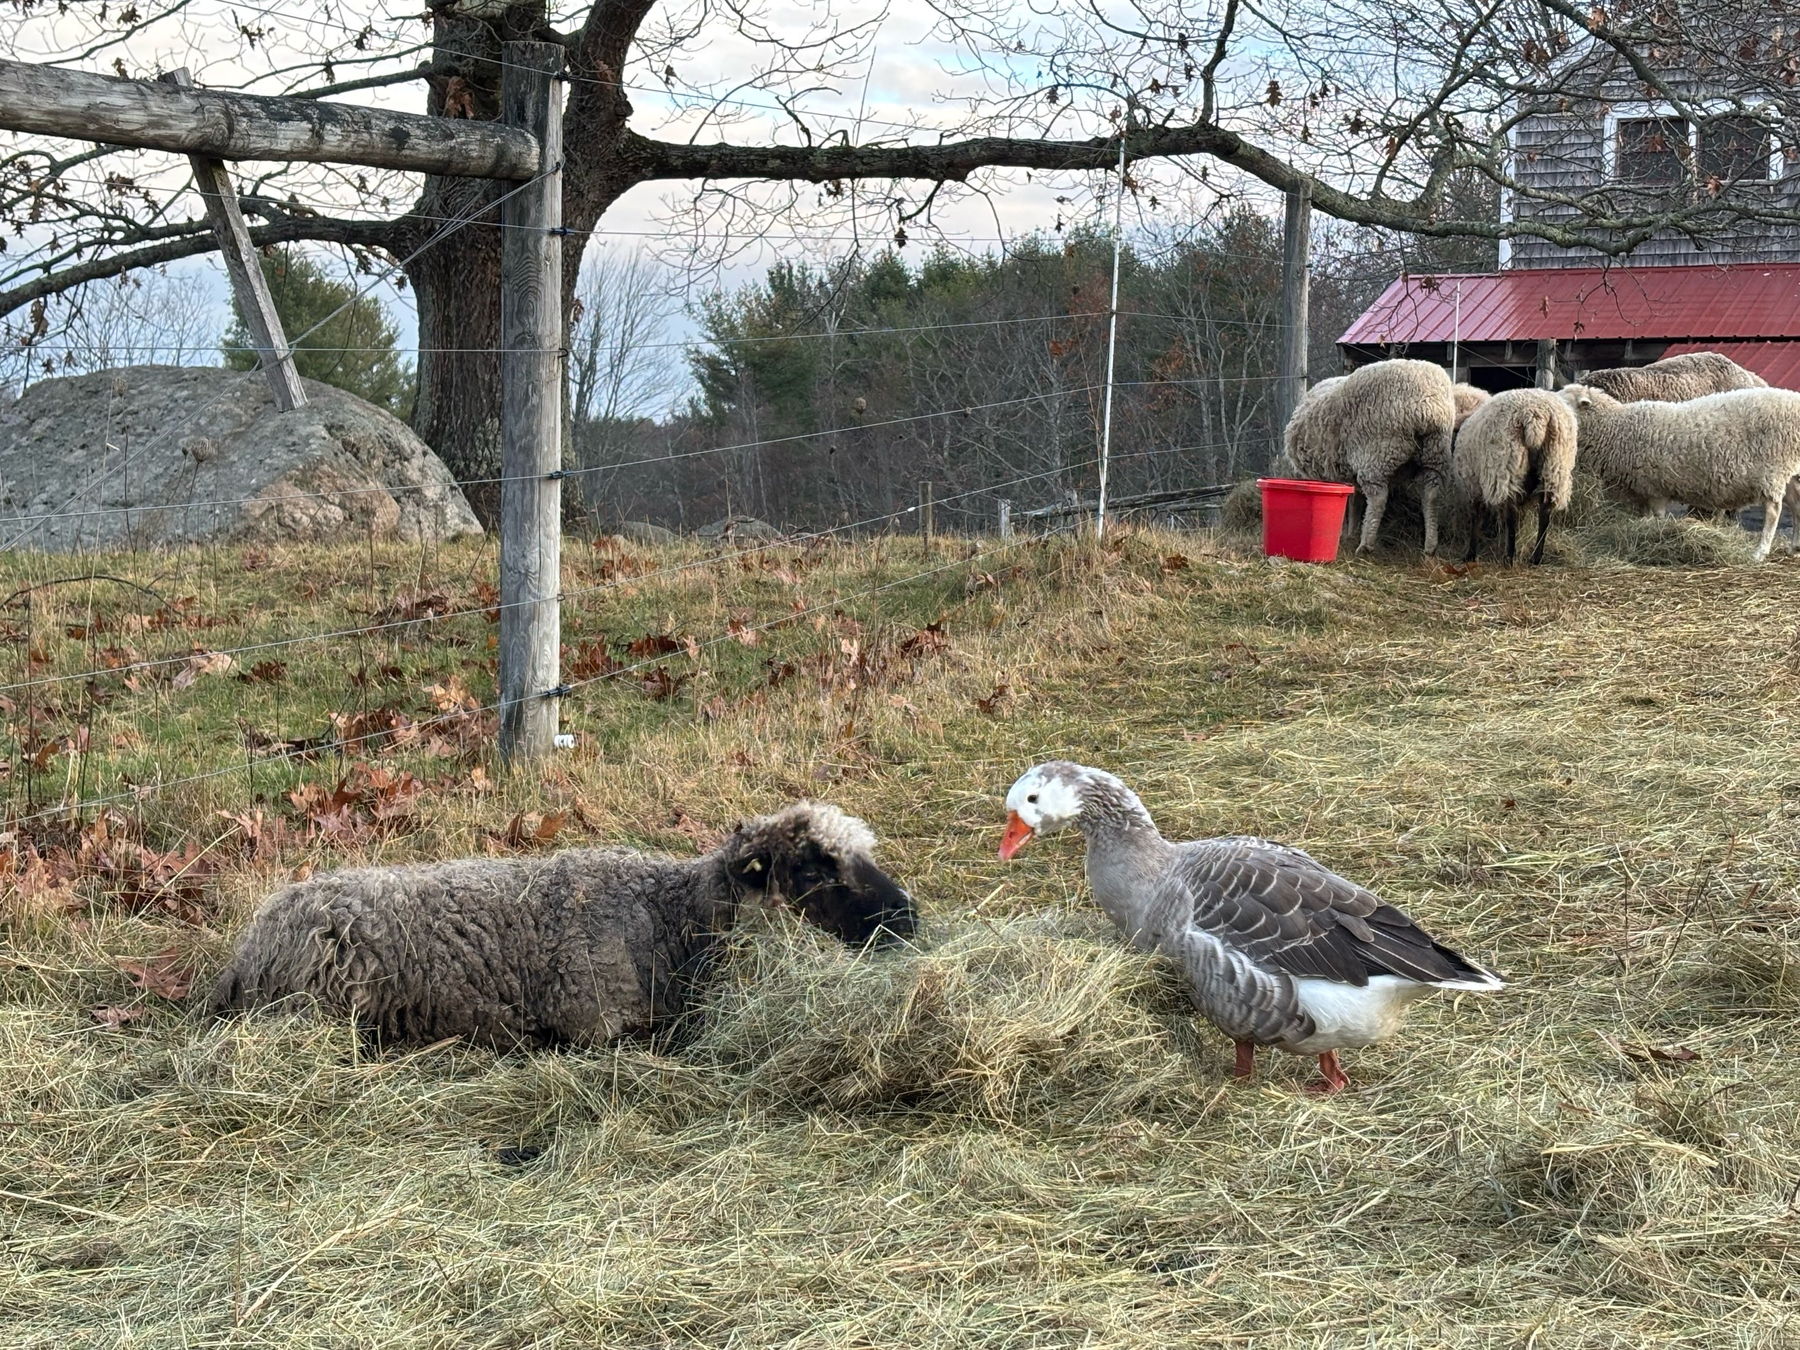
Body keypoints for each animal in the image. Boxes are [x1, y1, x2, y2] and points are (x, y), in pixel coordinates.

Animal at [1283, 359, 1457, 555]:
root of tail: (1427, 407)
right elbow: (1354, 501)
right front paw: (1350, 532)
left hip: (1377, 454)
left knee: (1378, 499)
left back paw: (1365, 545)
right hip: (1434, 455)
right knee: (1431, 496)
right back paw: (1430, 546)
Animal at [1451, 388, 1578, 566]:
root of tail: (1535, 417)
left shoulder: (1473, 484)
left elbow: (1477, 516)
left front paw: (1470, 553)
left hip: (1506, 465)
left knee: (1510, 513)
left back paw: (1509, 557)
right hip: (1555, 465)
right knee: (1545, 511)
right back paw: (1535, 557)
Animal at [1558, 383, 1800, 562]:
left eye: (1567, 403)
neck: (1618, 427)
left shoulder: (1654, 488)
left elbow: (1658, 517)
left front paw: (1657, 537)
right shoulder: (1646, 489)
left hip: (1773, 471)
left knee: (1774, 511)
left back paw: (1759, 552)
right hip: (1789, 473)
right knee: (1796, 505)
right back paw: (1793, 547)